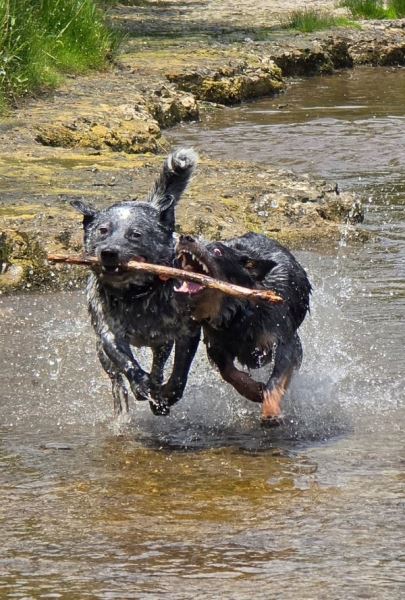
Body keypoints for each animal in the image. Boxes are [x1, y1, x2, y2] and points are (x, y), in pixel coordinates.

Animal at [72, 149, 200, 418]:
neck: (138, 295)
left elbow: (179, 373)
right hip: (102, 354)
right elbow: (127, 363)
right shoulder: (109, 334)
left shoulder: (187, 332)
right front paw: (141, 386)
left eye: (135, 234)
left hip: (162, 343)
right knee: (116, 381)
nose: (108, 253)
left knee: (159, 365)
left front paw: (166, 395)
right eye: (102, 231)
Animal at [174, 232, 310, 424]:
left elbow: (276, 380)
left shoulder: (286, 343)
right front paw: (253, 390)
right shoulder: (215, 343)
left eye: (217, 251)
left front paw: (270, 411)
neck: (239, 313)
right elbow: (228, 371)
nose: (185, 237)